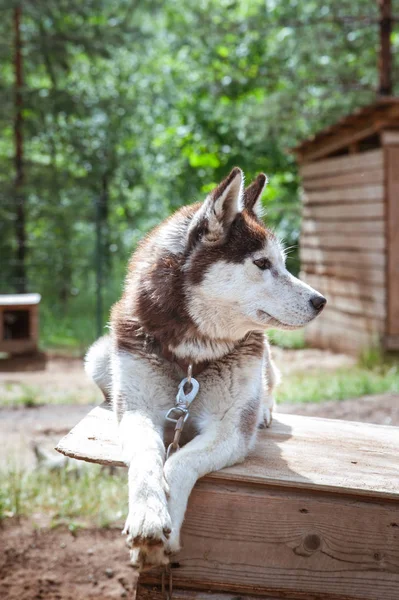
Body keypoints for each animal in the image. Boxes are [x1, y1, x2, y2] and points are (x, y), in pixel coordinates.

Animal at [86, 166, 326, 568]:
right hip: (98, 357)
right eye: (262, 263)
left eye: (283, 264)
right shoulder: (138, 411)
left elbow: (179, 462)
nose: (320, 301)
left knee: (268, 386)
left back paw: (264, 411)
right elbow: (147, 458)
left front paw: (167, 527)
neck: (191, 358)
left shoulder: (230, 430)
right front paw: (149, 515)